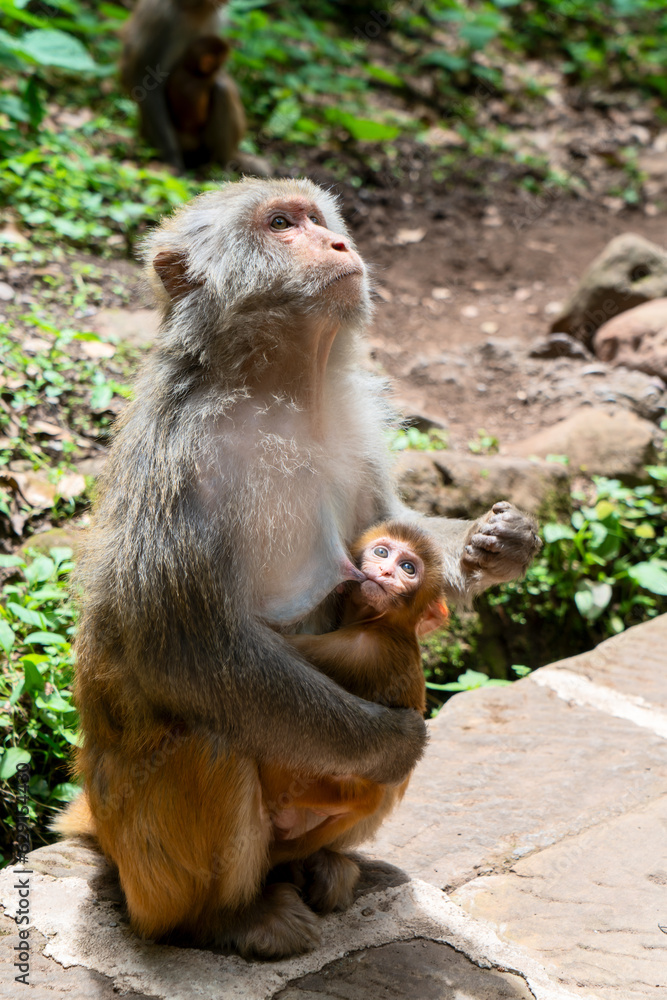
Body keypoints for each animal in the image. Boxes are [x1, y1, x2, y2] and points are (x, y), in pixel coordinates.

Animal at [262, 520, 448, 880]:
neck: (383, 623)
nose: (387, 571)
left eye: (408, 568)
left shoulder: (360, 650)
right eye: (382, 552)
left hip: (331, 792)